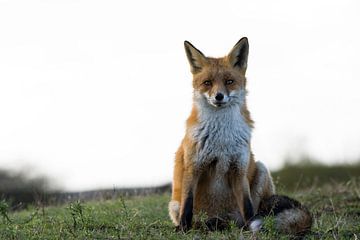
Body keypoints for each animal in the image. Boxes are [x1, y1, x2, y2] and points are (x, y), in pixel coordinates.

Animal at [169, 38, 312, 235]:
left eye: (229, 81)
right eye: (207, 82)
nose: (219, 96)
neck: (221, 138)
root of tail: (222, 220)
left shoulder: (239, 169)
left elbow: (248, 206)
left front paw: (253, 226)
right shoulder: (193, 167)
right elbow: (187, 205)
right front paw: (183, 228)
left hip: (261, 169)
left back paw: (243, 226)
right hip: (174, 204)